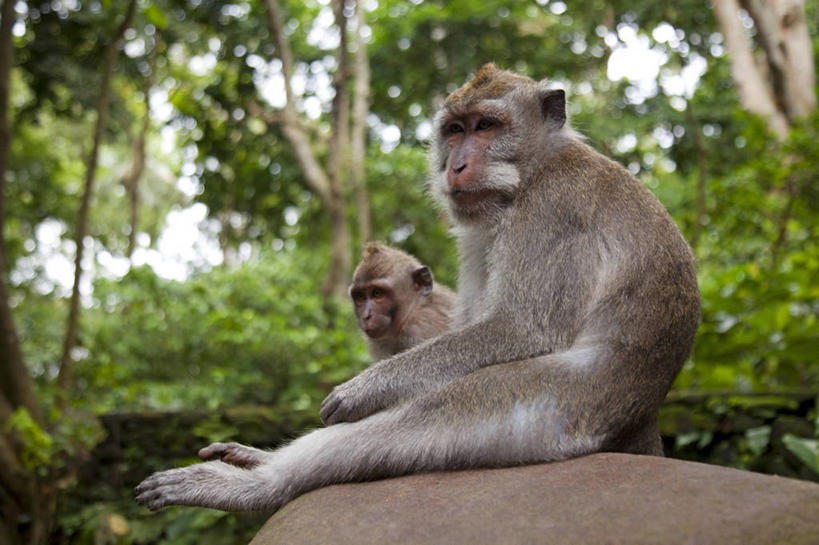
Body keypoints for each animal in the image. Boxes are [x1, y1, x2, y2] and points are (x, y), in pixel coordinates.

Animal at [135, 66, 700, 512]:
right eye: (454, 130)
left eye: (487, 126)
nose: (456, 164)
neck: (532, 171)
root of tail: (639, 414)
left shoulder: (554, 210)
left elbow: (521, 329)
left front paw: (362, 390)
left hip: (559, 407)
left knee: (432, 412)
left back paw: (258, 487)